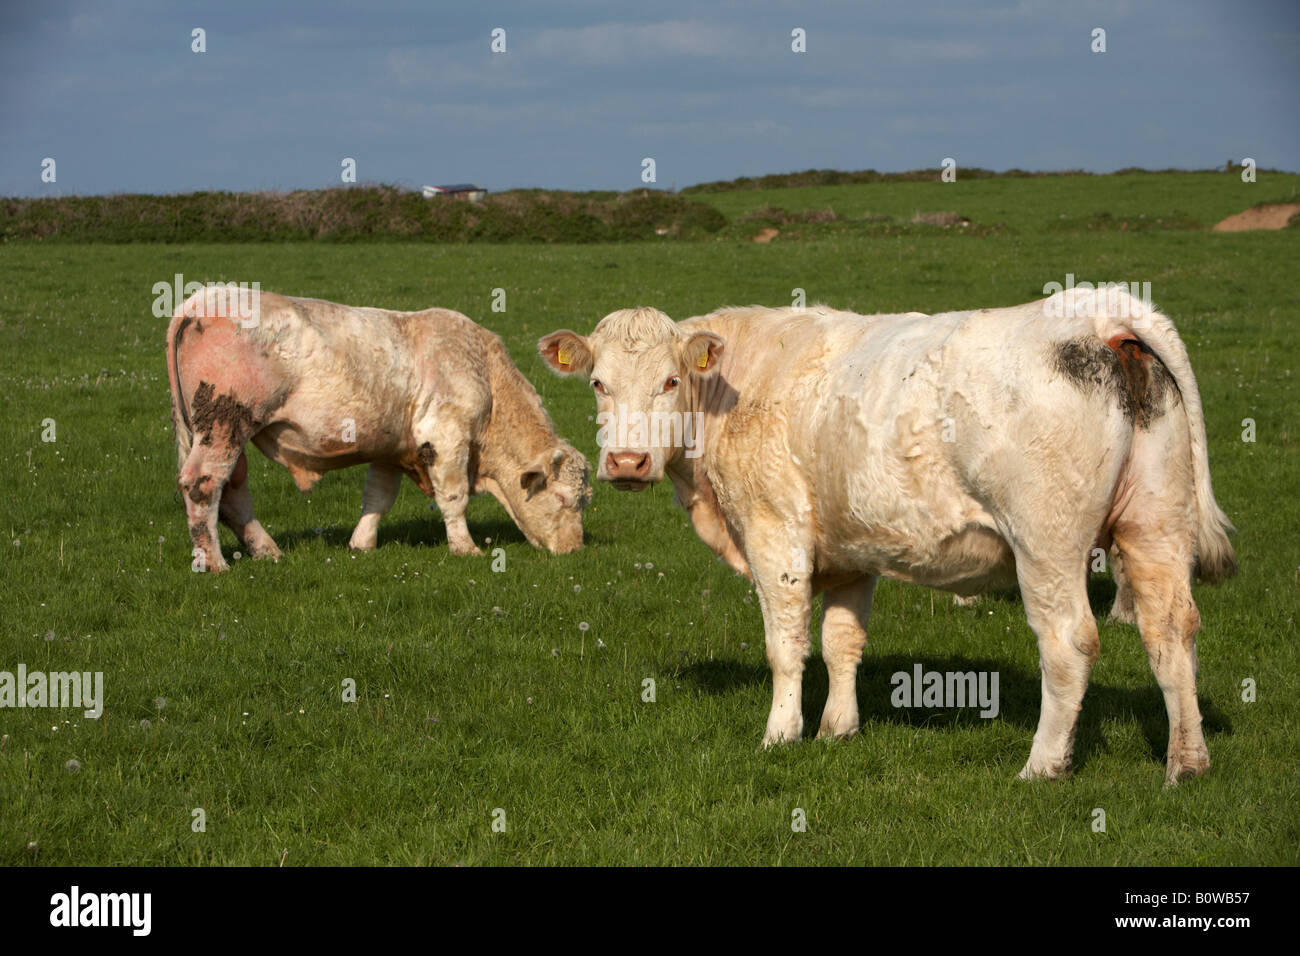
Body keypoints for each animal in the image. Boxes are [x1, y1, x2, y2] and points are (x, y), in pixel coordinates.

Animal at [167, 287, 590, 572]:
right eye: (564, 499)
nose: (575, 550)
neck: (485, 374)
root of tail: (202, 299)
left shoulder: (393, 446)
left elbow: (378, 498)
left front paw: (362, 544)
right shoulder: (447, 437)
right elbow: (453, 498)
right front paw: (465, 548)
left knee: (233, 492)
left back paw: (267, 551)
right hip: (225, 423)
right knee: (203, 484)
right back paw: (215, 563)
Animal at [540, 286, 1235, 784]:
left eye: (670, 380)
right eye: (599, 383)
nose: (627, 462)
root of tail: (1097, 315)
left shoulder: (774, 533)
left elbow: (786, 645)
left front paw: (780, 734)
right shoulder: (852, 549)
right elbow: (842, 642)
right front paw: (838, 729)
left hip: (1048, 542)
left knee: (1068, 643)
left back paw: (1043, 766)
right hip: (1155, 526)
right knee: (1172, 631)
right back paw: (1187, 764)